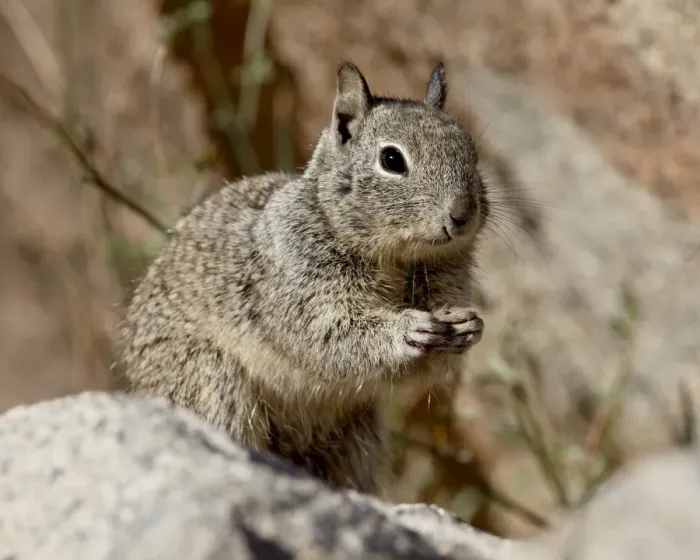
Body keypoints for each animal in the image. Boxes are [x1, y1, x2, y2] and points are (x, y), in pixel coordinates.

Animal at [118, 61, 490, 495]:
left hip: (355, 438)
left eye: (471, 152)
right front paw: (407, 329)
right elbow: (331, 334)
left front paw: (468, 324)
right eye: (392, 159)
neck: (395, 258)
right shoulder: (302, 293)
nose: (462, 215)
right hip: (211, 385)